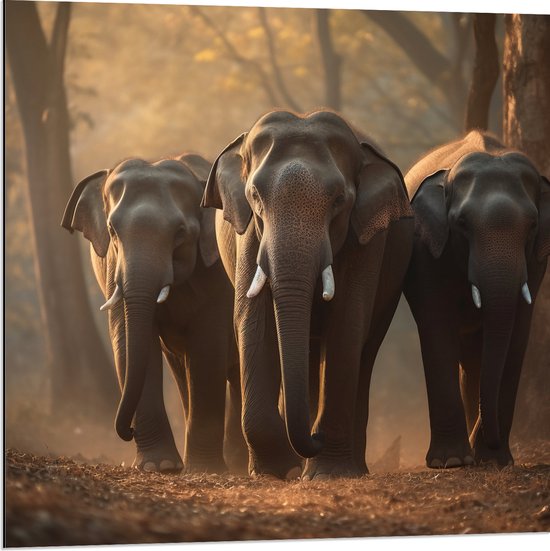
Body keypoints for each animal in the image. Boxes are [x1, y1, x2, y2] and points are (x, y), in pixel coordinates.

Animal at [61, 154, 248, 474]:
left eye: (180, 233)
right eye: (112, 232)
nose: (127, 431)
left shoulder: (215, 274)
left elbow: (207, 346)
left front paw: (204, 470)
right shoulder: (114, 269)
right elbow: (129, 341)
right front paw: (159, 466)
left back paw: (237, 464)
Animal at [203, 109, 414, 478]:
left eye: (339, 201)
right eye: (255, 196)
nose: (314, 436)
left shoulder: (367, 239)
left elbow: (348, 322)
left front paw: (327, 472)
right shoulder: (249, 233)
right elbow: (252, 319)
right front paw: (276, 471)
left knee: (366, 349)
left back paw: (352, 466)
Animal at [406, 130, 550, 470]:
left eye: (533, 226)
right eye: (461, 224)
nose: (488, 441)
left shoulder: (536, 262)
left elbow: (517, 332)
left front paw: (494, 460)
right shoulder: (427, 249)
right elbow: (436, 326)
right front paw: (452, 461)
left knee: (474, 360)